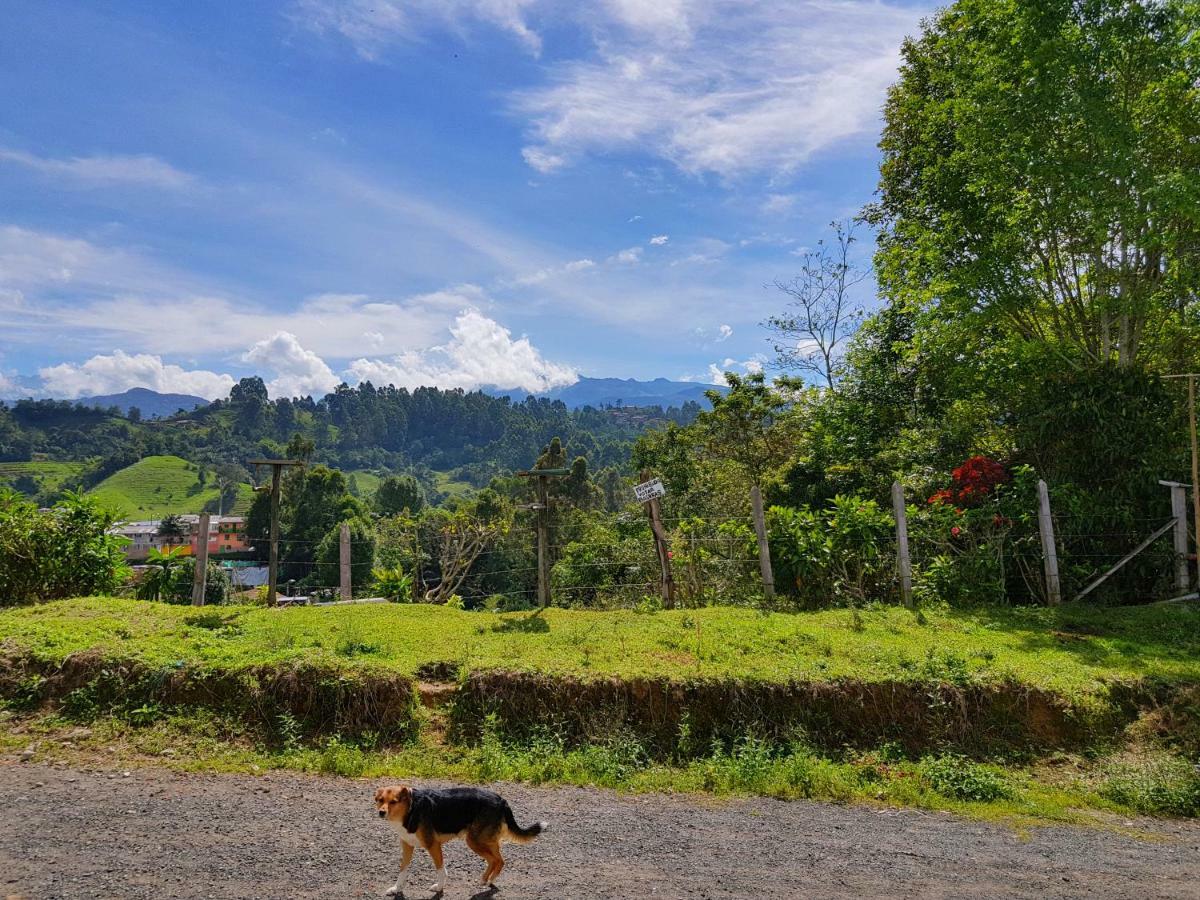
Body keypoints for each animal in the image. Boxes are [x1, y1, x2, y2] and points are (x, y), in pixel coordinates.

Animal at [374, 782, 549, 897]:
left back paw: (487, 880)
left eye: (393, 802)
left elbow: (441, 870)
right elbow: (402, 870)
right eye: (380, 800)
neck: (410, 810)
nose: (381, 812)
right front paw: (396, 889)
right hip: (485, 840)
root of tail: (501, 800)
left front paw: (439, 887)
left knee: (496, 860)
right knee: (498, 860)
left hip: (474, 840)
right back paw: (487, 880)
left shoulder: (433, 845)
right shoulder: (407, 845)